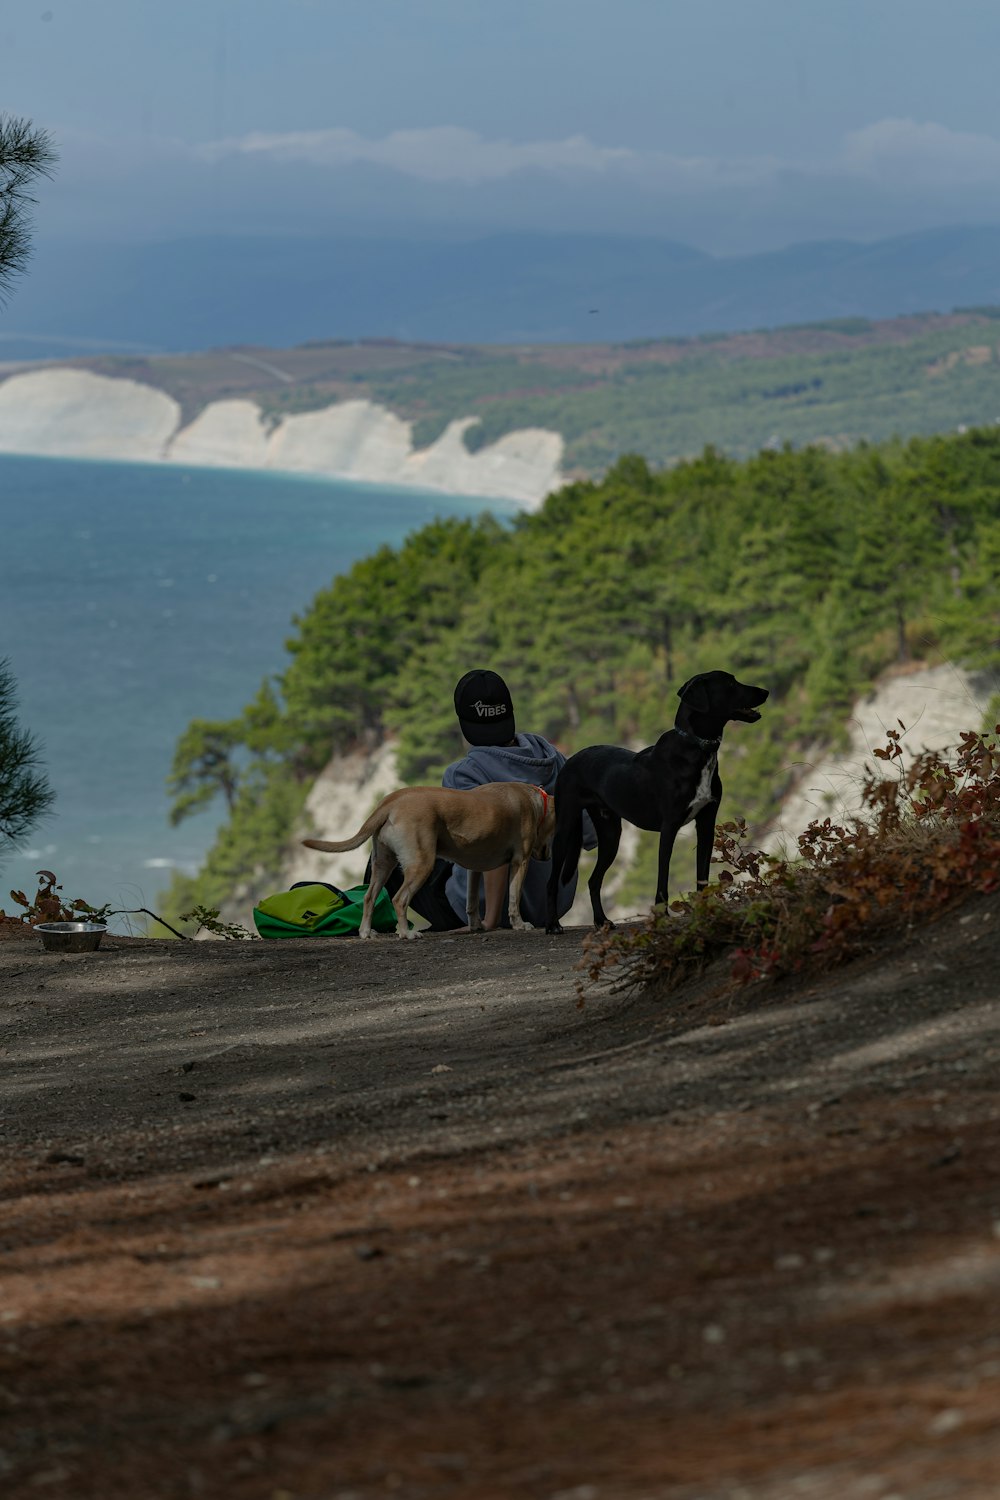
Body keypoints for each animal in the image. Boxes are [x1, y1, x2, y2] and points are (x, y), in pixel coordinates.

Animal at [301, 786, 560, 936]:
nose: (548, 856)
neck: (536, 802)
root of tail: (389, 803)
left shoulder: (474, 868)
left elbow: (472, 902)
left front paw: (477, 925)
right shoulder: (519, 862)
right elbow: (514, 899)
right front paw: (520, 925)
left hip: (383, 864)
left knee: (369, 897)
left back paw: (366, 932)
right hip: (421, 863)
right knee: (399, 899)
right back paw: (406, 934)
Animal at [548, 672, 767, 930]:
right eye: (730, 683)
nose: (765, 692)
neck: (697, 748)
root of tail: (570, 759)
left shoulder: (706, 823)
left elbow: (702, 874)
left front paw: (705, 911)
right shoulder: (669, 826)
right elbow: (663, 875)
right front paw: (662, 917)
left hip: (610, 835)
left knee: (594, 880)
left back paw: (601, 921)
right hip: (565, 828)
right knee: (552, 881)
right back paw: (552, 925)